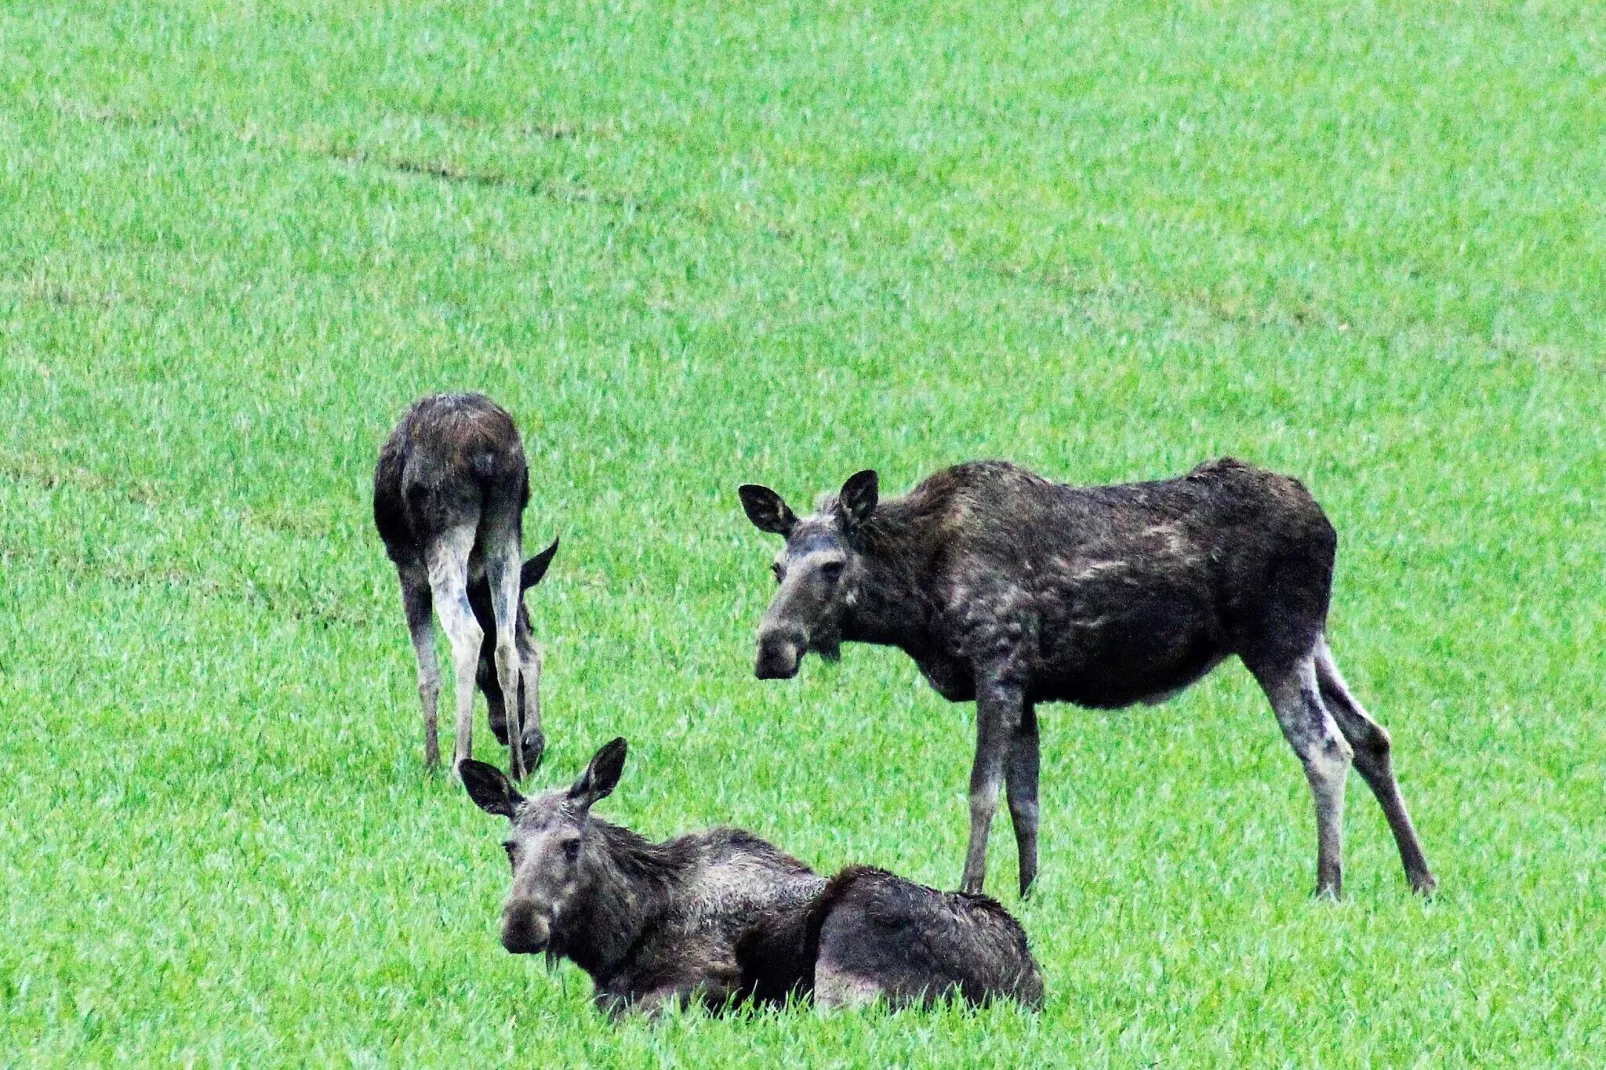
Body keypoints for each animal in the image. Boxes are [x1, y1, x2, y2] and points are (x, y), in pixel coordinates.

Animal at [375, 392, 558, 774]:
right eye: (532, 622)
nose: (505, 730)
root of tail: (484, 453)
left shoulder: (409, 574)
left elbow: (427, 675)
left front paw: (431, 761)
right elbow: (524, 648)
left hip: (445, 537)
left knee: (468, 635)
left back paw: (460, 760)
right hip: (506, 529)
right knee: (508, 645)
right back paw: (516, 763)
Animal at [459, 739, 1047, 1015]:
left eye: (572, 844)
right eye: (509, 847)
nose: (520, 925)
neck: (618, 936)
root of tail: (1028, 982)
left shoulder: (708, 979)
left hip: (852, 923)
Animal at [741, 459, 1445, 899]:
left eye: (831, 566)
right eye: (777, 566)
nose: (772, 650)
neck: (914, 604)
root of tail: (1327, 525)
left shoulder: (997, 664)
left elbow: (982, 793)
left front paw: (969, 888)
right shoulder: (1026, 688)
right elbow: (1026, 801)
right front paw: (1029, 890)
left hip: (1276, 641)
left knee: (1325, 747)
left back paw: (1329, 885)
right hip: (1313, 640)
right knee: (1373, 735)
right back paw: (1421, 878)